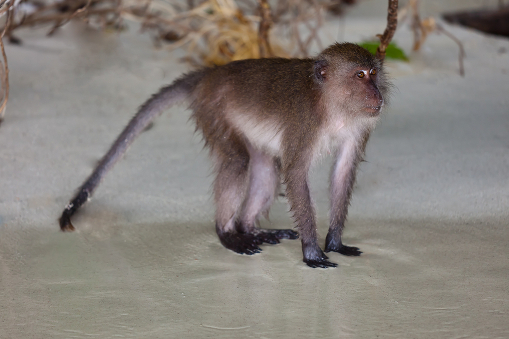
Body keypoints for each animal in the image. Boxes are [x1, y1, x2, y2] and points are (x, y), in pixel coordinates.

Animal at [60, 42, 392, 270]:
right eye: (359, 75)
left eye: (373, 73)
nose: (377, 94)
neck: (332, 104)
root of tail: (211, 73)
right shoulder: (304, 121)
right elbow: (296, 172)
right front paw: (311, 251)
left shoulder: (359, 126)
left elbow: (343, 169)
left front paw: (334, 242)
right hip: (213, 109)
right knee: (238, 161)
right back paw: (226, 232)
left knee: (264, 168)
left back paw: (248, 227)